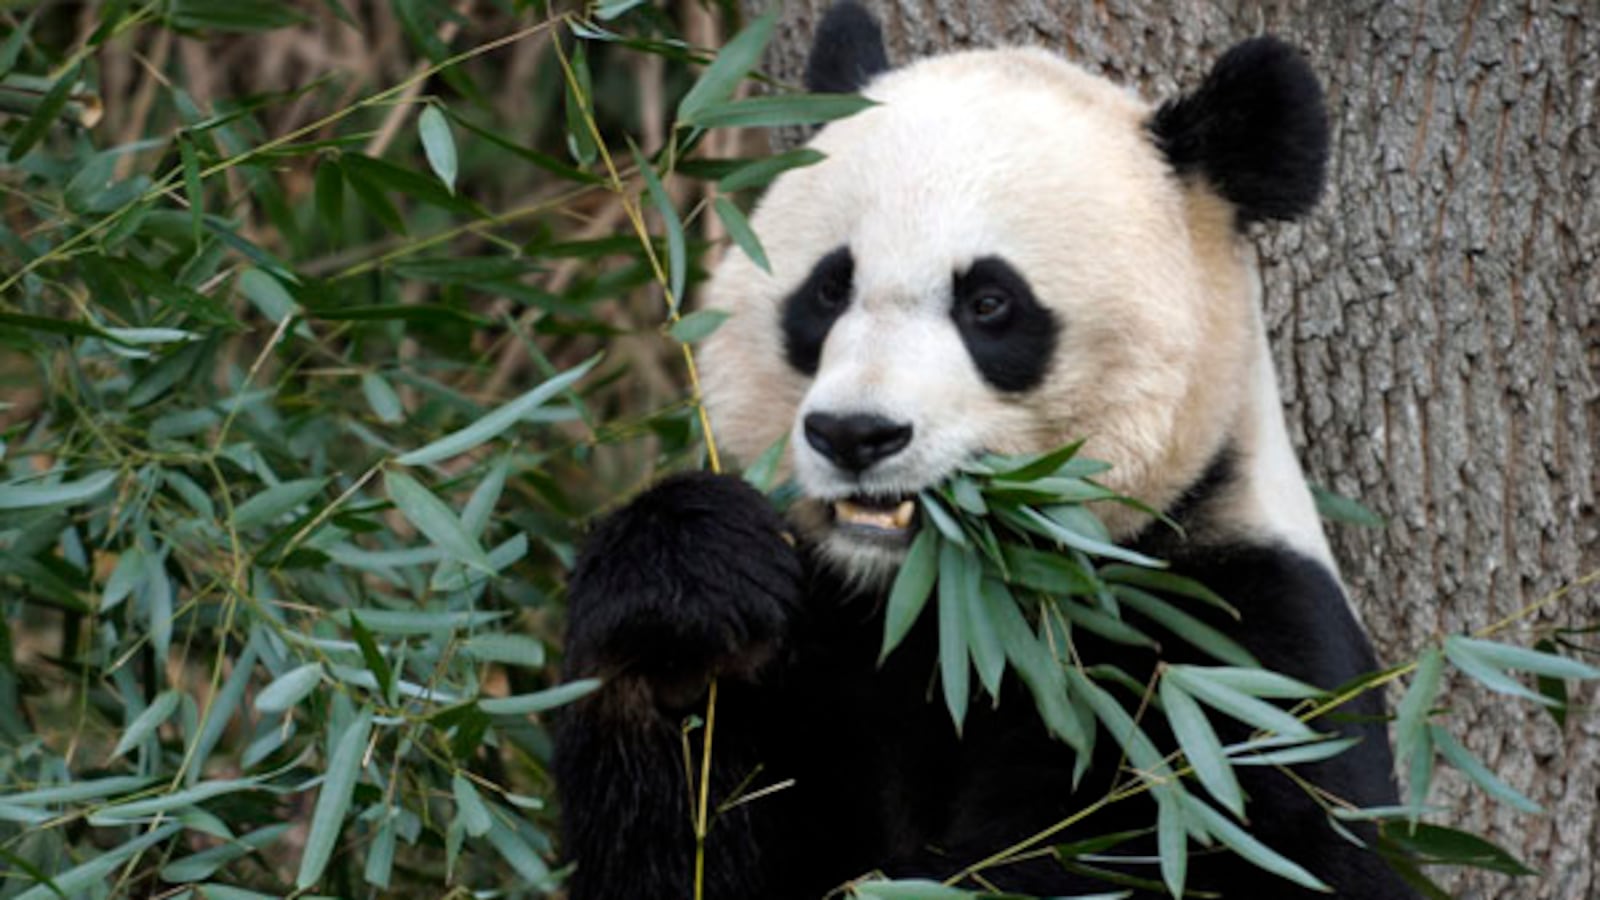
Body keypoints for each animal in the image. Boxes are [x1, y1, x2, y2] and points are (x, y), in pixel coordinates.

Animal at [555, 4, 1415, 899]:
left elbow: (1262, 844)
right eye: (829, 288)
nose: (855, 434)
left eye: (990, 303)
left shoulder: (1233, 660)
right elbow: (681, 831)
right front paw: (689, 593)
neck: (944, 612)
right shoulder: (821, 643)